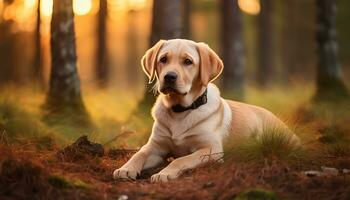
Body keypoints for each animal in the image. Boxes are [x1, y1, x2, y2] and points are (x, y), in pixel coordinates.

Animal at [113, 39, 298, 183]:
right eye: (163, 59)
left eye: (188, 61)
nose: (169, 77)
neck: (179, 110)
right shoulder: (156, 146)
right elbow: (139, 153)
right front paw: (126, 168)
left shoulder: (211, 150)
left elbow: (181, 160)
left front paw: (164, 173)